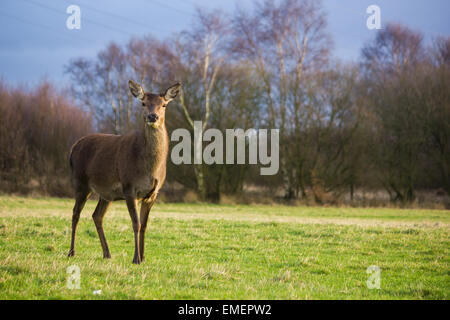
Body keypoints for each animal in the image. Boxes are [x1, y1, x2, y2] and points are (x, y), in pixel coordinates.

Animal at [67, 79, 180, 262]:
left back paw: (107, 253)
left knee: (97, 215)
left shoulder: (153, 193)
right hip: (81, 182)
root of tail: (73, 147)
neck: (150, 169)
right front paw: (136, 258)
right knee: (75, 213)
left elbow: (144, 225)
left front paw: (143, 256)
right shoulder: (129, 187)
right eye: (143, 103)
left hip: (106, 193)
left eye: (163, 105)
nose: (152, 116)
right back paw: (71, 251)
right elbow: (136, 223)